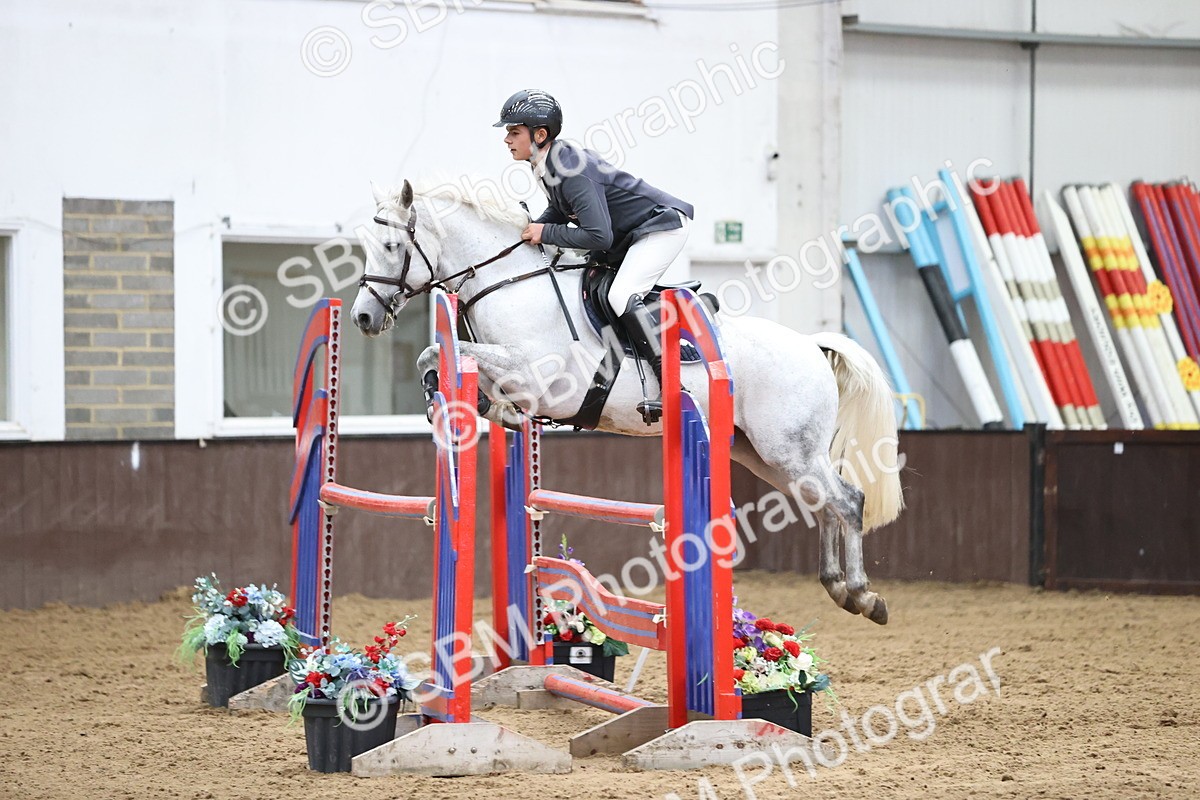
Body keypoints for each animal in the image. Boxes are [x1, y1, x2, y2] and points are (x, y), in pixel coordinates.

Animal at [350, 178, 905, 624]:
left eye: (392, 245)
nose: (361, 318)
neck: (514, 287)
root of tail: (812, 344)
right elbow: (442, 357)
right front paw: (481, 408)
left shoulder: (541, 377)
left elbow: (451, 354)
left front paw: (472, 404)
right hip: (763, 453)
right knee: (822, 502)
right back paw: (837, 586)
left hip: (787, 447)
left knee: (847, 500)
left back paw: (862, 595)